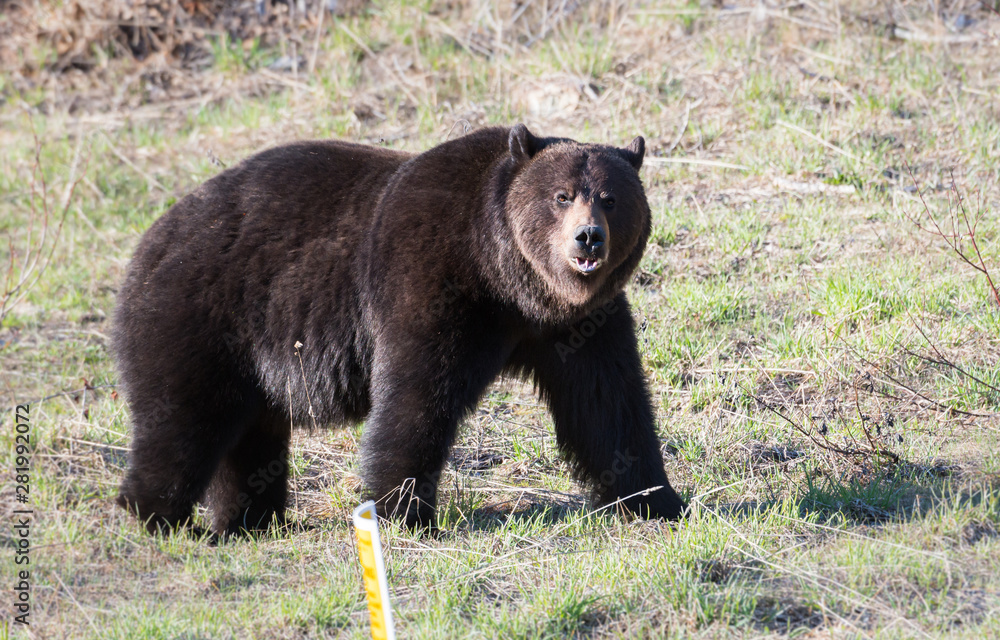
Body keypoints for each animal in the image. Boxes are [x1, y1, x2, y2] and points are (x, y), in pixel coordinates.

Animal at [111, 122, 688, 532]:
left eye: (610, 198)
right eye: (562, 196)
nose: (588, 237)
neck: (512, 282)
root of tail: (149, 240)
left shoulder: (581, 326)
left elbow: (609, 403)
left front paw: (658, 499)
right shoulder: (431, 279)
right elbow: (415, 395)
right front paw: (403, 510)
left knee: (249, 437)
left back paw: (250, 520)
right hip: (203, 313)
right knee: (183, 419)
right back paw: (153, 514)